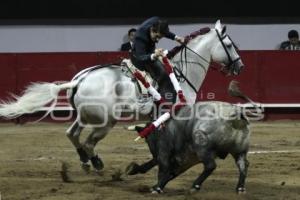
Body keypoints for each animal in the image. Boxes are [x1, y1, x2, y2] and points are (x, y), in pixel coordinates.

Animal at [0, 19, 244, 170]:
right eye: (229, 44)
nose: (240, 67)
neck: (182, 71)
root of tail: (79, 79)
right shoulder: (174, 116)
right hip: (106, 121)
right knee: (88, 142)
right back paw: (96, 163)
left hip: (84, 116)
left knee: (72, 134)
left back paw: (85, 162)